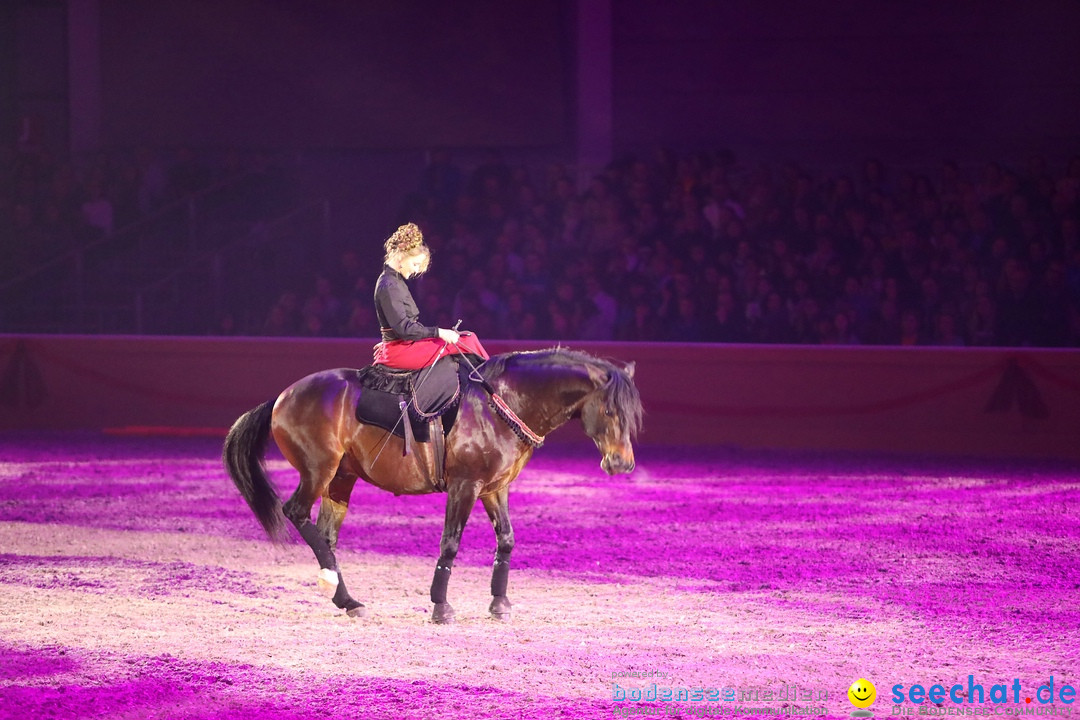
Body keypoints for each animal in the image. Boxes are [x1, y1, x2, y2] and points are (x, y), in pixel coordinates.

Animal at [220, 345, 639, 621]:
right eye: (608, 410)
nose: (622, 463)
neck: (498, 404)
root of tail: (283, 396)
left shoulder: (494, 488)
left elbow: (506, 539)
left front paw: (499, 603)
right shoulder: (465, 486)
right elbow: (450, 544)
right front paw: (441, 606)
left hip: (341, 478)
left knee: (326, 536)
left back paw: (345, 598)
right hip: (317, 471)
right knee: (297, 513)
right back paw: (334, 586)